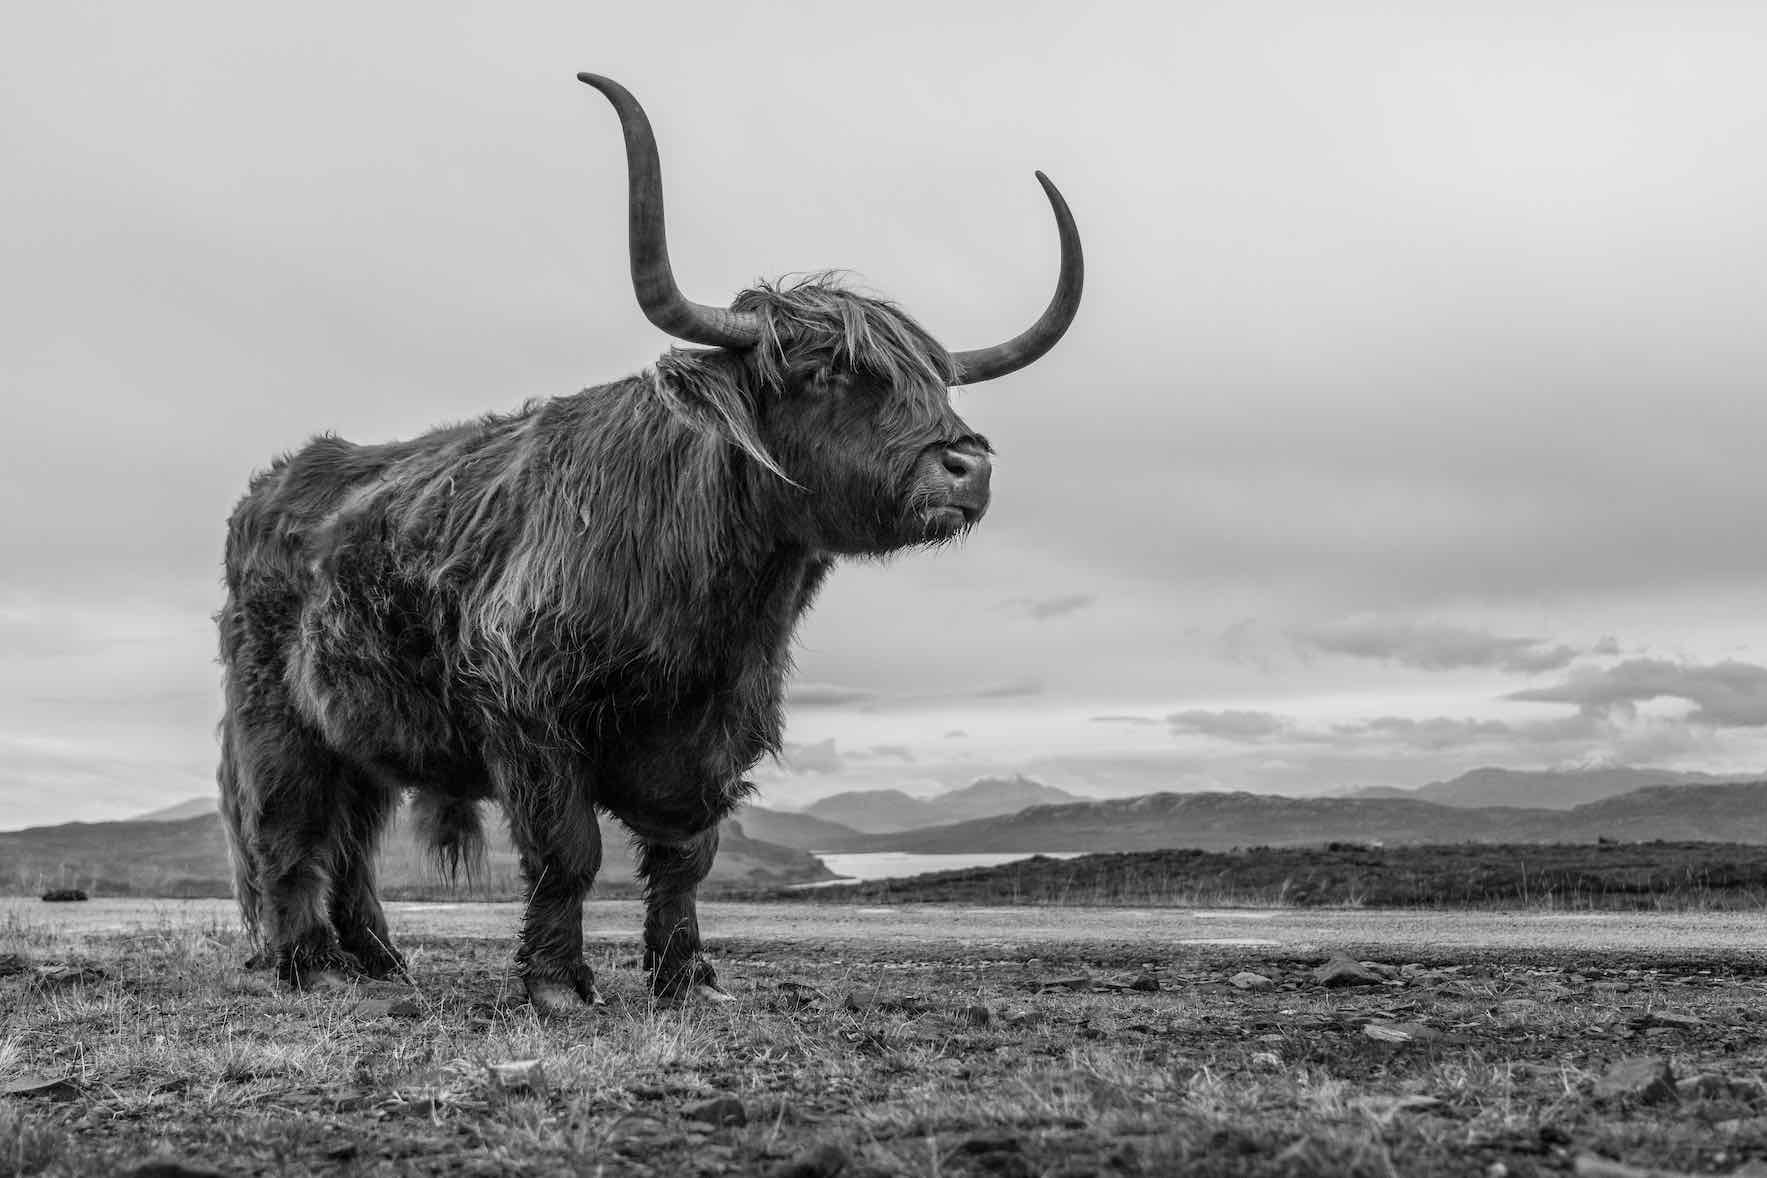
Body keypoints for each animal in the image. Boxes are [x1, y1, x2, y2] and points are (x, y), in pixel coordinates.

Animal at [215, 73, 1083, 1012]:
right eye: (822, 370)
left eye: (936, 382)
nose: (965, 464)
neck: (713, 608)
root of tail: (273, 486)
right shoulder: (528, 708)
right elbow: (569, 852)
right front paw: (558, 984)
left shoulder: (715, 731)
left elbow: (683, 856)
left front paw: (685, 977)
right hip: (277, 716)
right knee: (288, 825)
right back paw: (306, 962)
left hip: (360, 734)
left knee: (353, 838)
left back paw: (377, 958)